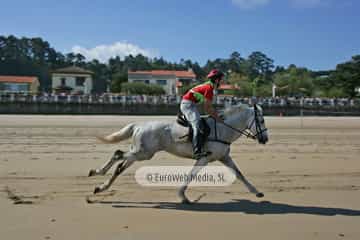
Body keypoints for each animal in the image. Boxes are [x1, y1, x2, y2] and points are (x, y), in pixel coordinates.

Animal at [88, 104, 268, 203]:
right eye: (261, 120)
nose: (265, 139)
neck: (223, 129)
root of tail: (138, 125)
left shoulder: (224, 157)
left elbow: (239, 174)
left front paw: (257, 192)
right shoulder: (205, 158)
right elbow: (191, 175)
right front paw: (183, 196)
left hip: (139, 152)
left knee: (120, 165)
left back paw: (100, 187)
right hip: (143, 153)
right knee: (118, 154)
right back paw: (96, 173)